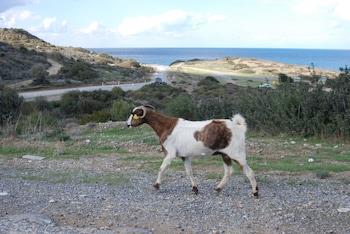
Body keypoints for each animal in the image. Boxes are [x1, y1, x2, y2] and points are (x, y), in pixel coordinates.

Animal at [127, 105, 258, 197]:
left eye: (134, 114)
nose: (127, 124)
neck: (166, 126)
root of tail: (239, 127)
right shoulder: (185, 156)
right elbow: (189, 172)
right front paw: (195, 189)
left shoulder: (170, 153)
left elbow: (162, 168)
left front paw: (156, 185)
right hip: (225, 155)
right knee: (229, 171)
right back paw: (218, 188)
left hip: (237, 153)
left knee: (249, 172)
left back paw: (255, 192)